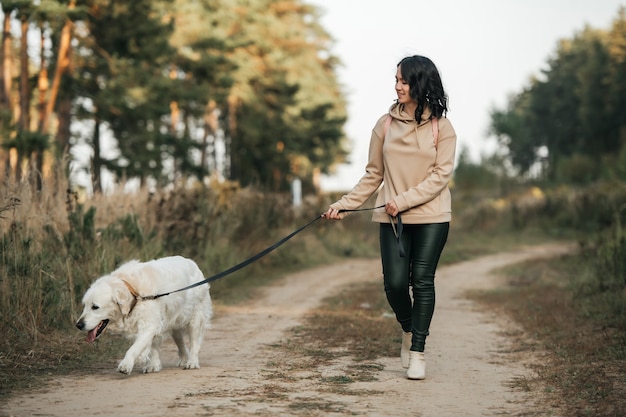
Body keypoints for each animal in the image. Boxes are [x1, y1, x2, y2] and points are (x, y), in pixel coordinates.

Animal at [74, 255, 212, 376]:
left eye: (95, 307)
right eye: (84, 305)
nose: (78, 325)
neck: (135, 294)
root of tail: (191, 262)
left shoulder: (150, 325)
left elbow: (135, 348)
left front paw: (126, 365)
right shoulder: (152, 325)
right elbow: (152, 346)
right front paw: (153, 365)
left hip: (195, 317)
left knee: (194, 342)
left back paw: (192, 362)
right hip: (173, 321)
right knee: (180, 341)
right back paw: (184, 358)